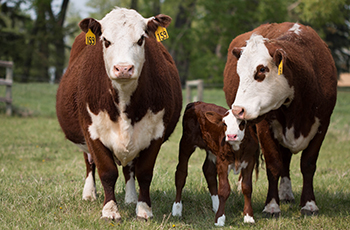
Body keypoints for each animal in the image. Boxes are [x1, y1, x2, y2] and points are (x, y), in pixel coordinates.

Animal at [56, 7, 182, 221]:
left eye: (141, 39)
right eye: (106, 41)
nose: (123, 68)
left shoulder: (156, 132)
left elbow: (144, 172)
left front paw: (144, 209)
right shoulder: (92, 131)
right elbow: (107, 171)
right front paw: (110, 210)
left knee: (129, 167)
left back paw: (130, 197)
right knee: (89, 162)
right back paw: (89, 194)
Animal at [223, 22, 338, 217]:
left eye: (262, 69)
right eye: (238, 72)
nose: (238, 110)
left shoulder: (322, 124)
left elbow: (308, 164)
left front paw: (309, 204)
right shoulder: (264, 127)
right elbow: (273, 165)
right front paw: (271, 205)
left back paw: (286, 193)